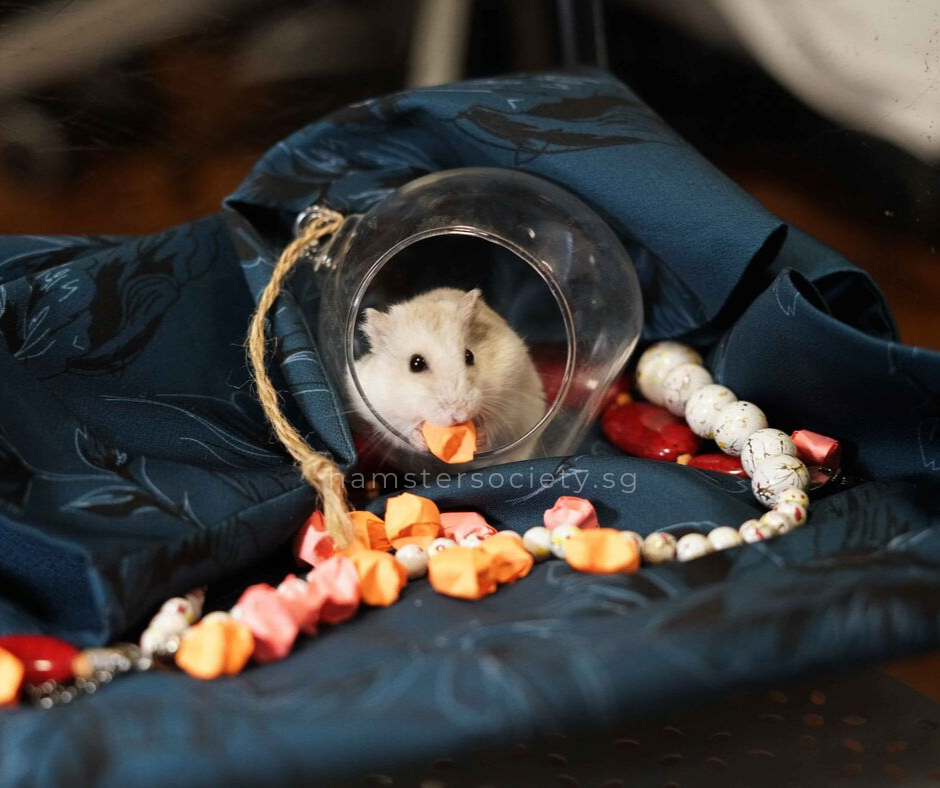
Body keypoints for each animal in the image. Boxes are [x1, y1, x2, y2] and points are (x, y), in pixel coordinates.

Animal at [347, 288, 546, 464]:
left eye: (469, 356)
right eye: (416, 364)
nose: (459, 415)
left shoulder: (511, 393)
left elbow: (495, 423)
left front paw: (479, 438)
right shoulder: (377, 407)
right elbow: (402, 426)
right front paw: (420, 439)